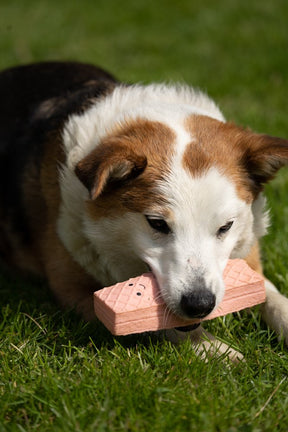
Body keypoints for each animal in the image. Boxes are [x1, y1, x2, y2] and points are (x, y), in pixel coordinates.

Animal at [0, 60, 288, 358]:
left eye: (226, 226)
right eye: (157, 224)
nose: (199, 304)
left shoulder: (248, 255)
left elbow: (273, 296)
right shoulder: (75, 292)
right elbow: (150, 324)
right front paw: (214, 349)